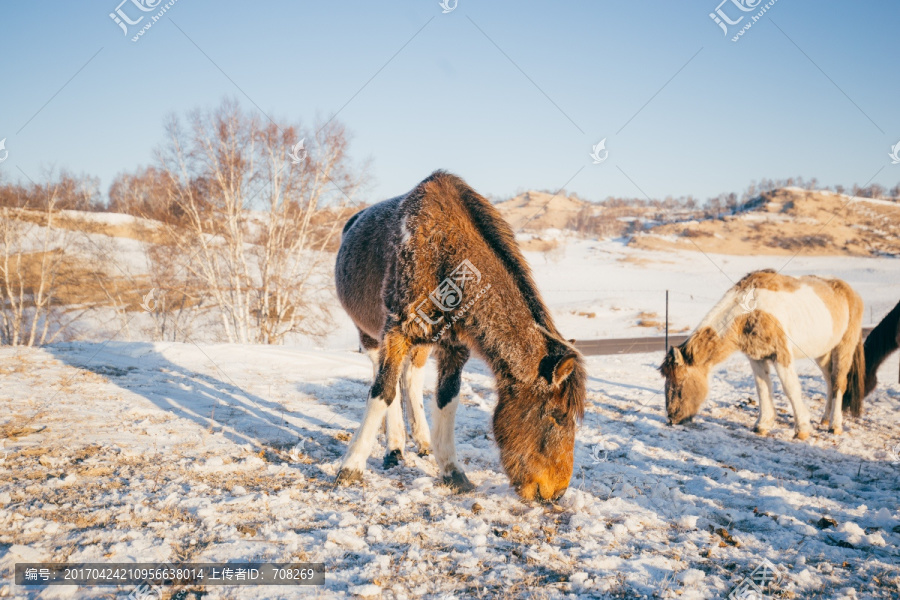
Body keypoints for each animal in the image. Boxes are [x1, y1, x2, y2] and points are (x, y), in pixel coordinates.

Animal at [330, 170, 584, 502]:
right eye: (556, 416)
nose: (557, 492)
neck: (444, 252)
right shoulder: (396, 332)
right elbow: (381, 394)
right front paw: (350, 468)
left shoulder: (454, 347)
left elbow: (446, 399)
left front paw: (452, 471)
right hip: (371, 336)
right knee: (387, 383)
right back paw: (394, 449)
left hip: (422, 345)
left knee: (410, 378)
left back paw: (421, 441)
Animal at [660, 270, 864, 436]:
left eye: (680, 383)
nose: (672, 418)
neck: (749, 311)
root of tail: (851, 292)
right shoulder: (757, 358)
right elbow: (762, 388)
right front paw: (762, 425)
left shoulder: (781, 355)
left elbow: (791, 388)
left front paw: (802, 429)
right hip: (823, 353)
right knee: (829, 380)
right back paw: (825, 419)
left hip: (844, 348)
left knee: (838, 383)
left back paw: (835, 425)